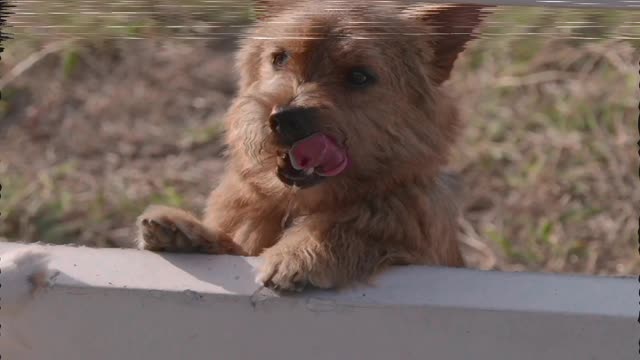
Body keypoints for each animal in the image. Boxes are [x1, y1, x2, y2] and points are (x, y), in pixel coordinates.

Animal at [132, 0, 488, 292]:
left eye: (359, 76)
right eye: (280, 57)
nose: (284, 118)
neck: (298, 203)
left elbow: (358, 225)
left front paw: (301, 252)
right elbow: (235, 245)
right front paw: (189, 233)